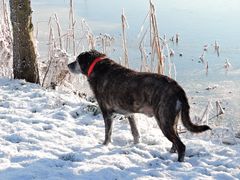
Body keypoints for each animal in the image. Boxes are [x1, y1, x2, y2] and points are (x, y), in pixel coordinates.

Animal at [68, 49, 211, 162]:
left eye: (77, 60)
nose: (68, 65)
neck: (97, 66)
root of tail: (177, 87)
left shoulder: (107, 112)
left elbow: (108, 133)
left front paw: (104, 146)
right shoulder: (130, 114)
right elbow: (135, 132)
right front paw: (136, 145)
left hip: (164, 120)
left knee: (181, 145)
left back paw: (179, 162)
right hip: (172, 120)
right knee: (176, 142)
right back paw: (170, 153)